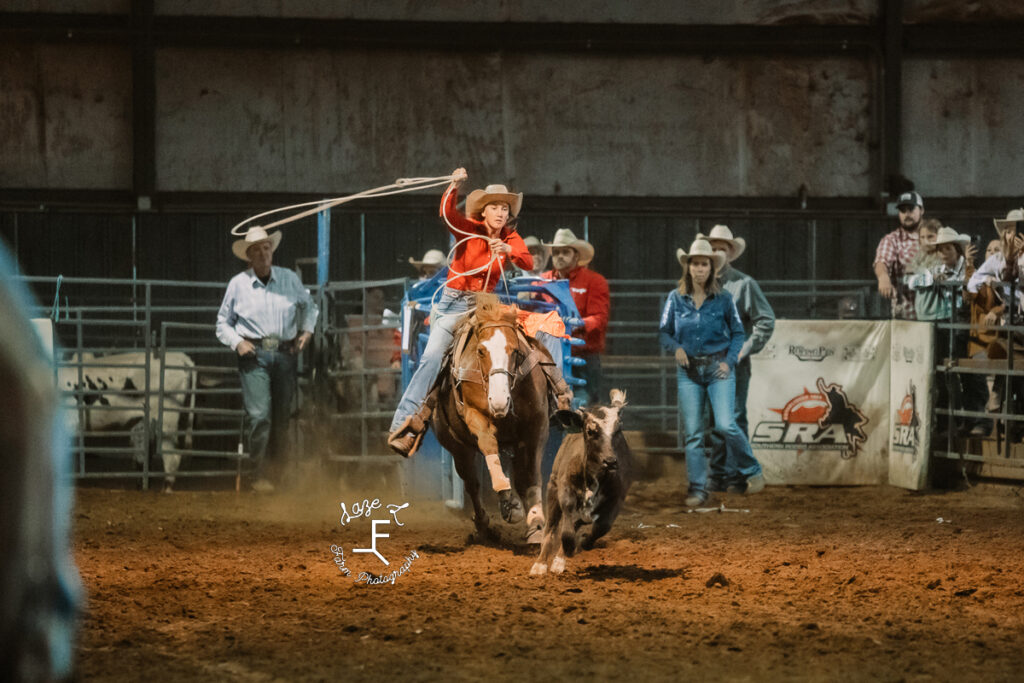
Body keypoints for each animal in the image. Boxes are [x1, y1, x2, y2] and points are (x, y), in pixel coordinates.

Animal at [430, 294, 552, 544]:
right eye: (480, 351)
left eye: (515, 351)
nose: (498, 401)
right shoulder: (476, 417)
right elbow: (488, 449)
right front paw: (509, 502)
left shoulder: (537, 426)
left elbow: (531, 477)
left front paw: (536, 524)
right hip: (458, 448)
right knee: (472, 484)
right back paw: (485, 525)